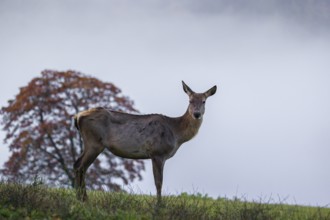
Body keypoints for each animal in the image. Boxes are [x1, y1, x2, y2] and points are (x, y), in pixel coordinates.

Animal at [73, 81, 217, 201]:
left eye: (204, 101)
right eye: (190, 100)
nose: (197, 114)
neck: (176, 133)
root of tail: (77, 116)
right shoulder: (157, 152)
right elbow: (159, 183)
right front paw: (158, 207)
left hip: (90, 142)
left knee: (77, 164)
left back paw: (80, 198)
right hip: (94, 142)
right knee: (81, 166)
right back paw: (84, 199)